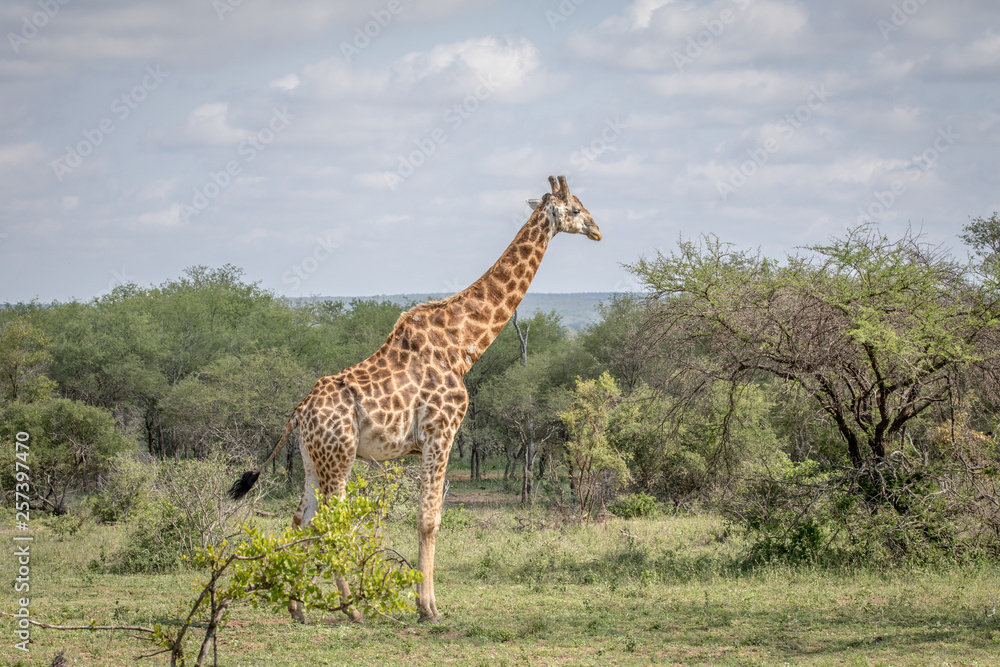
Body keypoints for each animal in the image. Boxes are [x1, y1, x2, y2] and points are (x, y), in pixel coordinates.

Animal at [230, 175, 601, 622]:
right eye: (576, 208)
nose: (598, 230)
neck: (462, 347)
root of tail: (298, 413)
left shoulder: (428, 441)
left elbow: (427, 516)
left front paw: (426, 603)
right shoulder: (441, 433)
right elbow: (428, 519)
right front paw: (428, 608)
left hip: (310, 460)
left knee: (301, 519)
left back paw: (298, 607)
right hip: (339, 458)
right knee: (329, 522)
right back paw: (351, 609)